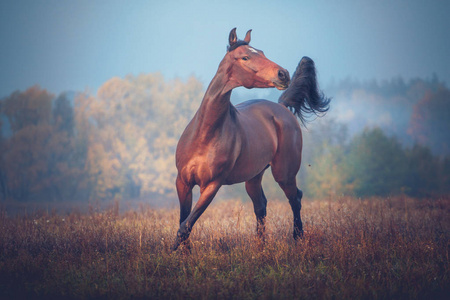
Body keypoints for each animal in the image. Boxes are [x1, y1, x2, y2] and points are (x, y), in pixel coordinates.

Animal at [172, 28, 330, 251]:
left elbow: (186, 225)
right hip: (254, 176)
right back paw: (260, 247)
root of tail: (281, 107)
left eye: (262, 52)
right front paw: (183, 254)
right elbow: (184, 222)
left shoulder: (212, 185)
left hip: (284, 173)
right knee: (261, 205)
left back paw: (297, 238)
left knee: (295, 198)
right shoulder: (183, 182)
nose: (283, 74)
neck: (205, 135)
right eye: (245, 57)